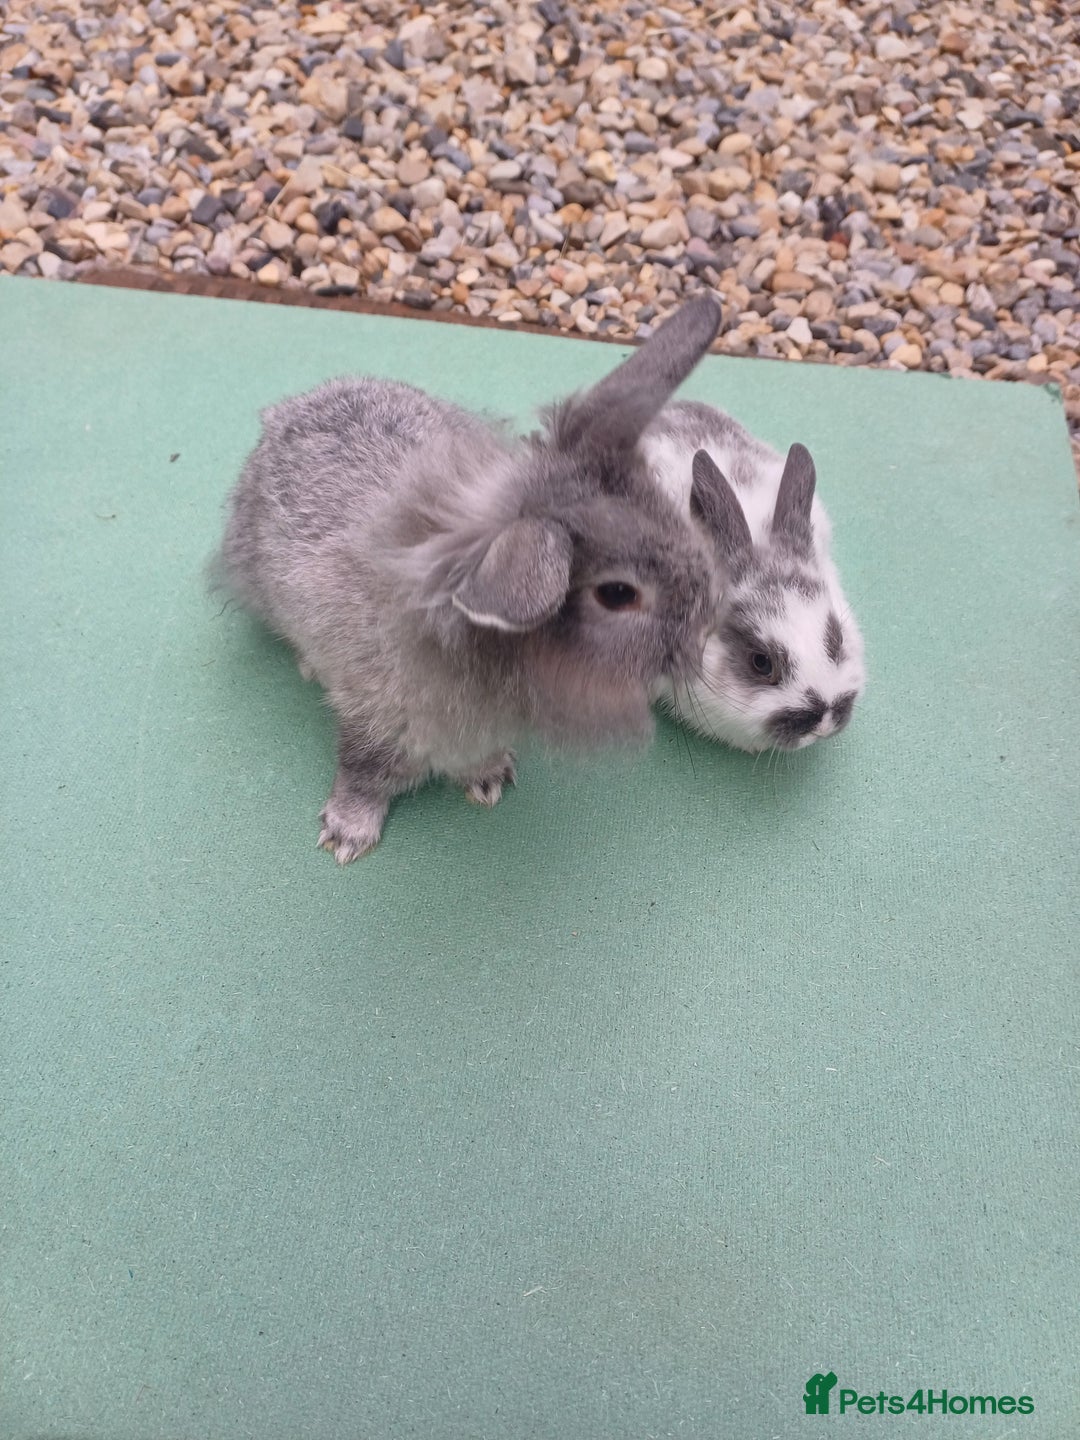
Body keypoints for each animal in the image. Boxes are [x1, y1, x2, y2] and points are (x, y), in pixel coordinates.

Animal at [217, 297, 724, 862]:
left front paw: (489, 779)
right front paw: (347, 835)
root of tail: (285, 413)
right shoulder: (373, 716)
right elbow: (362, 769)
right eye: (617, 594)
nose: (704, 633)